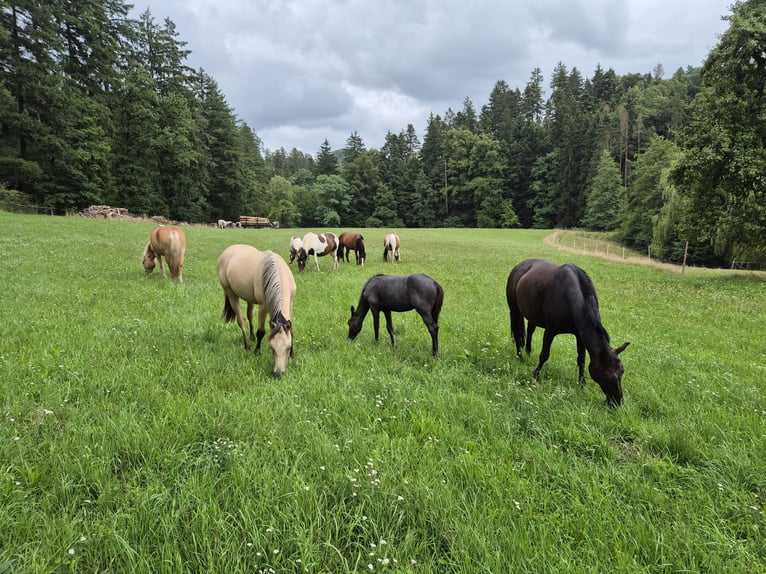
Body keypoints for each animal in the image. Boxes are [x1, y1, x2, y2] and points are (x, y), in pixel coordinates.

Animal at [217, 244, 296, 377]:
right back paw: (247, 345)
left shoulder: (290, 302)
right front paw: (257, 352)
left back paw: (252, 337)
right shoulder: (263, 306)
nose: (278, 373)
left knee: (249, 316)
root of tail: (227, 251)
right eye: (272, 348)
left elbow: (291, 330)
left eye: (288, 348)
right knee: (241, 321)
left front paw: (292, 354)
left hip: (249, 299)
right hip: (231, 294)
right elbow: (261, 332)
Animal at [506, 258, 629, 406]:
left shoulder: (580, 336)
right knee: (517, 334)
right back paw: (520, 357)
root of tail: (519, 266)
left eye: (622, 370)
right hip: (515, 311)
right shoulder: (550, 331)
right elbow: (544, 355)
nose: (618, 402)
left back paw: (528, 352)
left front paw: (582, 384)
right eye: (605, 374)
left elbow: (581, 359)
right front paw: (536, 376)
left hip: (532, 314)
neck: (571, 298)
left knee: (530, 330)